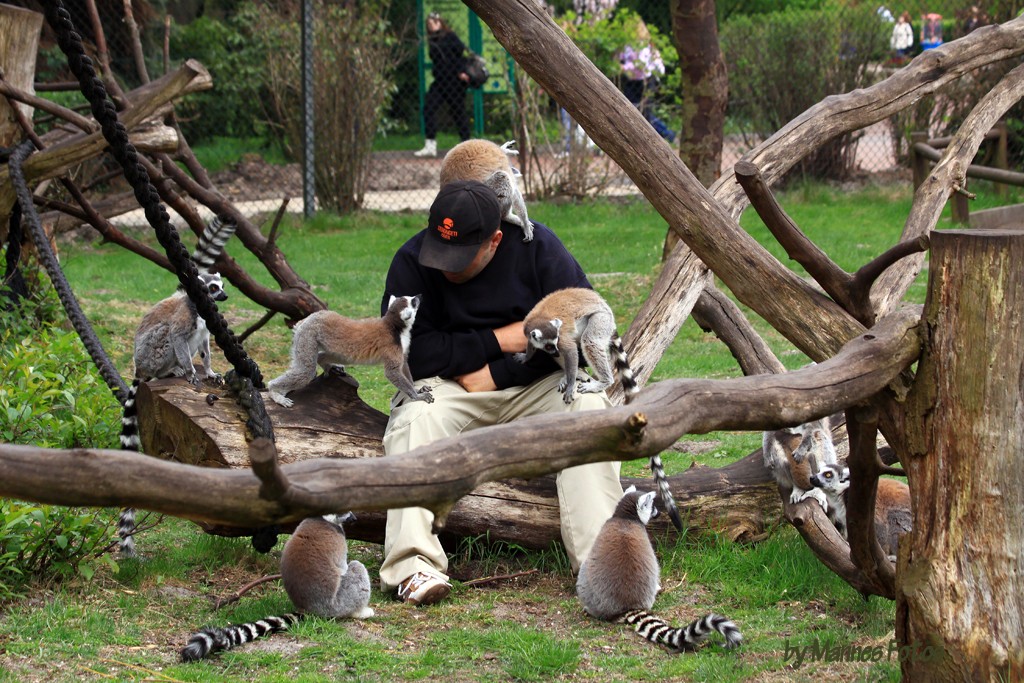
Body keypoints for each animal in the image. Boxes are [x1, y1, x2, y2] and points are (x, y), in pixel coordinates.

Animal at [181, 513, 374, 661]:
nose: (354, 517)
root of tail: (309, 609)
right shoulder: (337, 537)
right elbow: (343, 567)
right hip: (341, 602)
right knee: (357, 568)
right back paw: (361, 611)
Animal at [267, 295, 433, 408]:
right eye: (414, 302)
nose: (420, 296)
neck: (395, 327)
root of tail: (307, 319)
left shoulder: (400, 349)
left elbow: (403, 364)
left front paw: (418, 389)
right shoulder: (391, 346)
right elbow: (392, 372)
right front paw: (417, 396)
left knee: (322, 358)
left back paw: (326, 364)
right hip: (307, 336)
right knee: (305, 371)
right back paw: (275, 392)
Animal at [513, 286, 682, 530]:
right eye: (548, 345)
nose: (554, 352)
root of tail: (603, 304)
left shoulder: (563, 337)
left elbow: (571, 352)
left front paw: (571, 384)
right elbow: (535, 348)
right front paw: (527, 357)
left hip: (599, 320)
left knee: (588, 341)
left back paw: (599, 381)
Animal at [576, 487, 743, 652]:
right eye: (653, 507)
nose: (659, 513)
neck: (626, 518)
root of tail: (628, 604)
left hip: (589, 591)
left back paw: (588, 609)